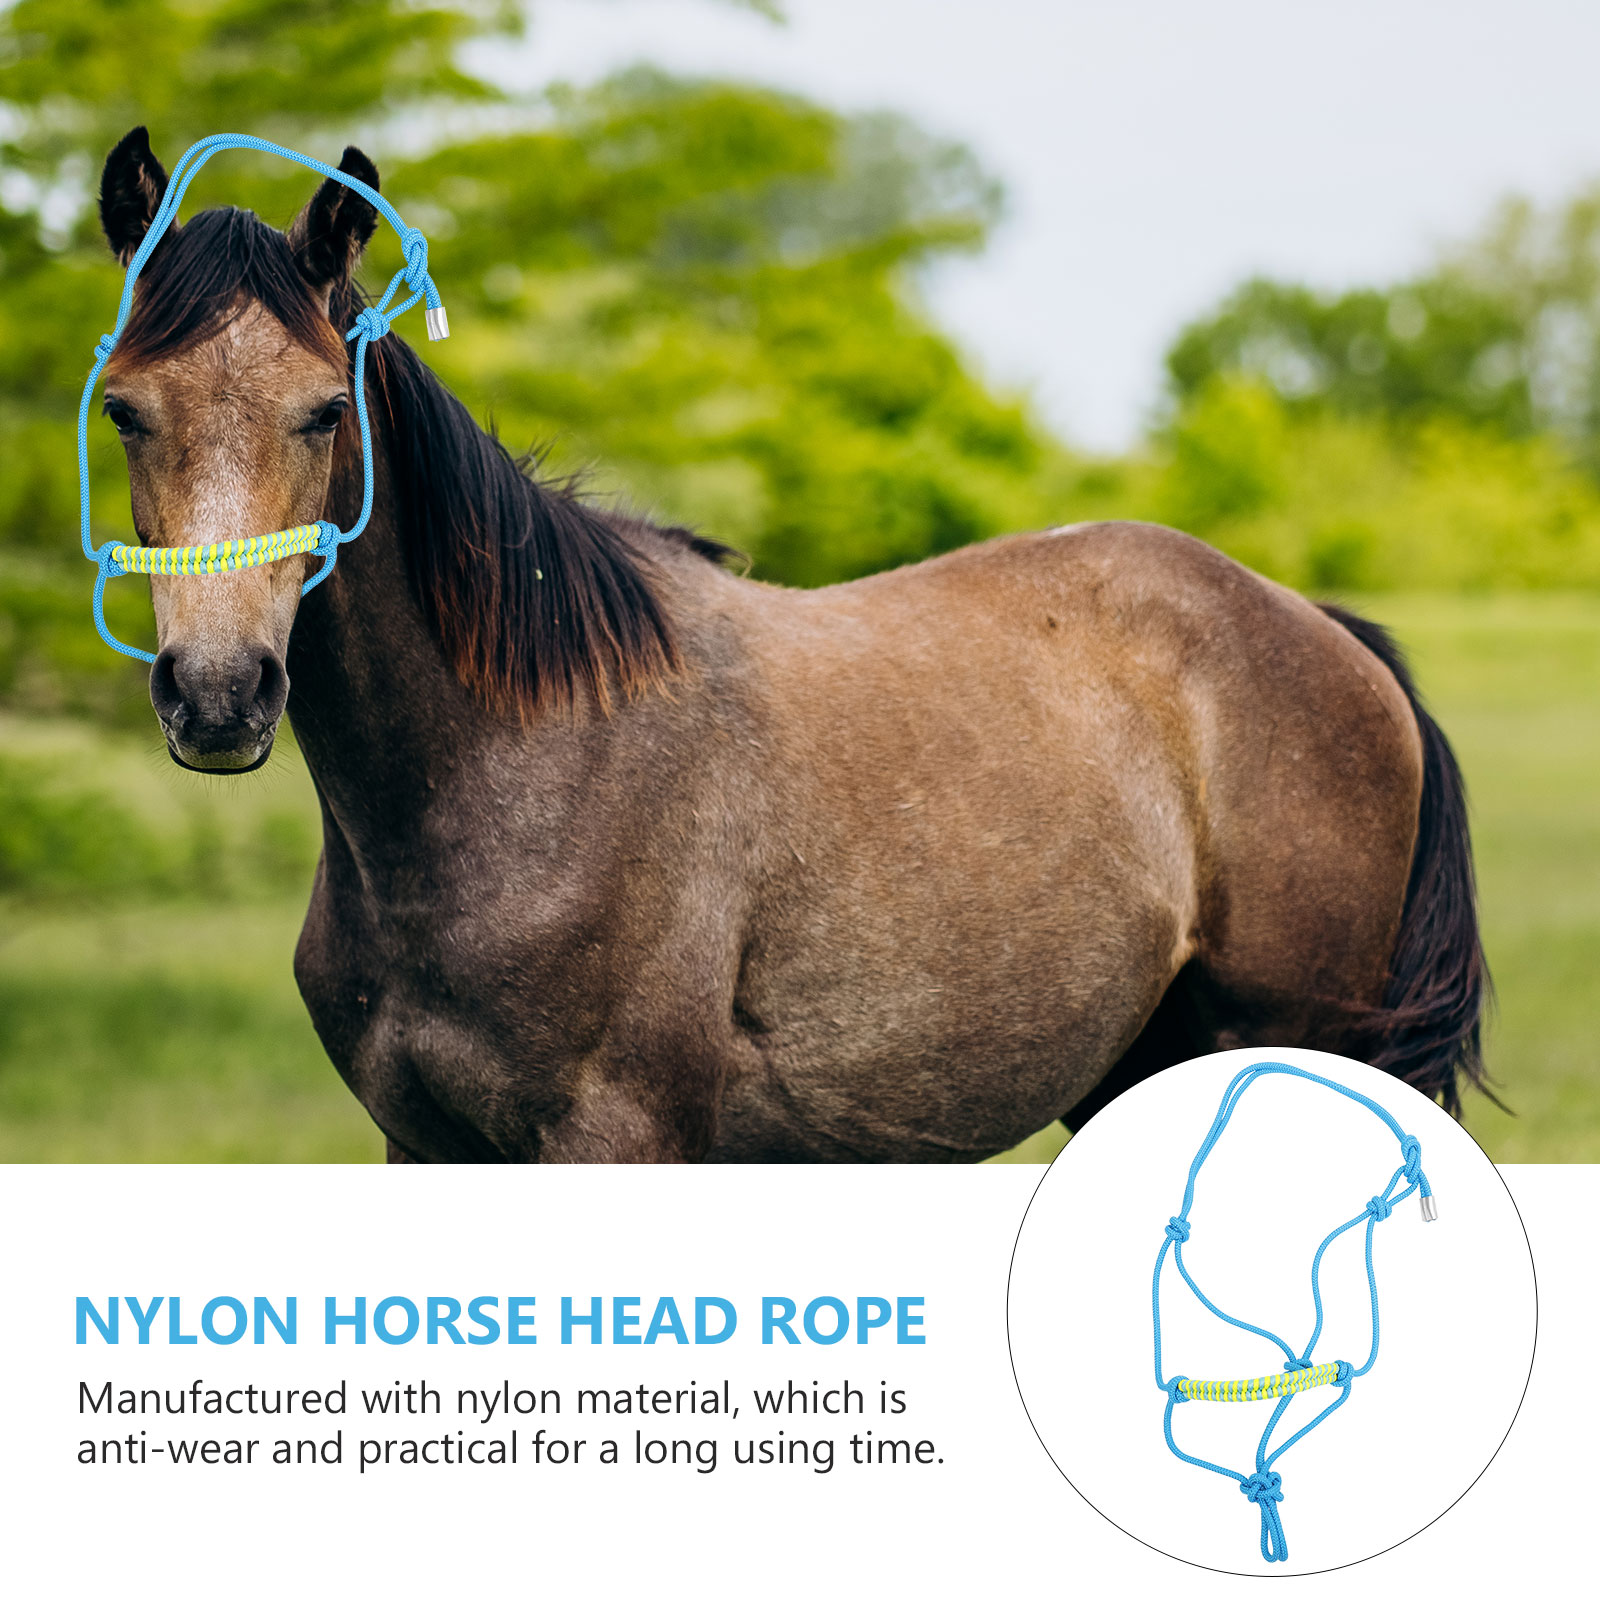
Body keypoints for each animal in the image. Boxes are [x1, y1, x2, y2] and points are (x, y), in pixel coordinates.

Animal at [92, 127, 1489, 1161]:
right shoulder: (425, 1147)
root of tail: (1324, 634)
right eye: (124, 412)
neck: (518, 765)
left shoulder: (617, 1143)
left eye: (324, 410)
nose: (218, 695)